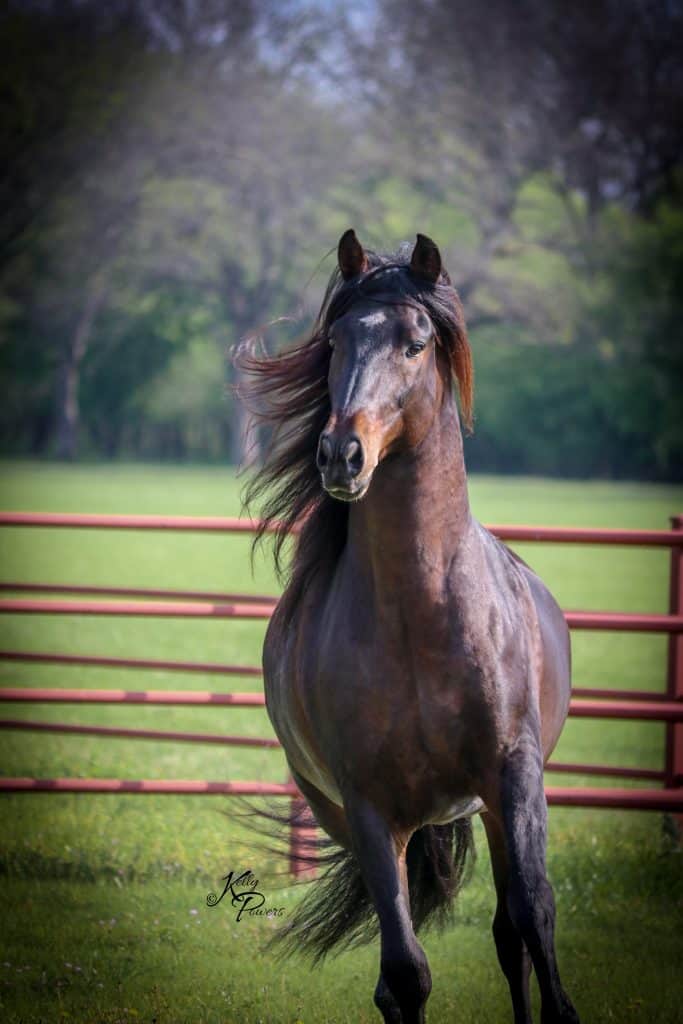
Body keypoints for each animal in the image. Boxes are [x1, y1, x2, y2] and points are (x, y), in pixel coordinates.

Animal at [239, 230, 580, 1024]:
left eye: (416, 343)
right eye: (336, 339)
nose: (340, 454)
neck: (420, 614)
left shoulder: (514, 775)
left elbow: (535, 915)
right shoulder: (368, 807)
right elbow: (406, 972)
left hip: (487, 807)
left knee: (510, 933)